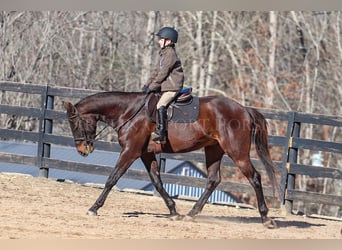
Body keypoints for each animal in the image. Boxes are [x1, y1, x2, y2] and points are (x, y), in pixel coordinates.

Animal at [62, 91, 280, 229]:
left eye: (75, 124)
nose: (82, 150)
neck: (129, 111)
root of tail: (244, 109)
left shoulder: (130, 151)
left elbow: (112, 178)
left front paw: (94, 208)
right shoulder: (146, 153)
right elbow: (157, 182)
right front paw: (173, 211)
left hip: (237, 153)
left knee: (255, 178)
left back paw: (266, 218)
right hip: (214, 149)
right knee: (213, 180)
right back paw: (191, 214)